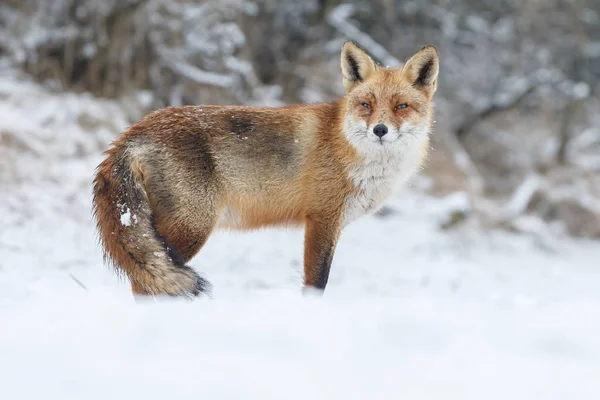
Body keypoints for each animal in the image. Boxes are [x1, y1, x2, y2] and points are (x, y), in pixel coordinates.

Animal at [95, 42, 440, 298]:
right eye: (366, 105)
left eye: (401, 106)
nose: (380, 130)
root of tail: (132, 131)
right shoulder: (322, 220)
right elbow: (316, 283)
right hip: (189, 229)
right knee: (147, 282)